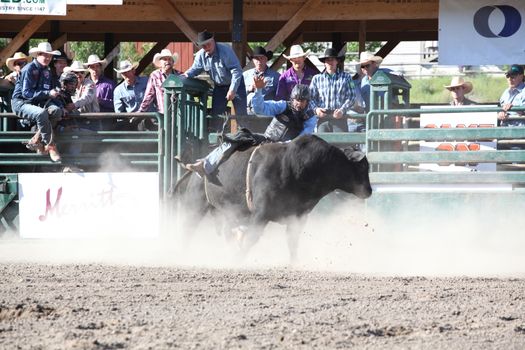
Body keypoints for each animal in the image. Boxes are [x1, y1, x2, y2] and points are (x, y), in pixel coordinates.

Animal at [172, 135, 372, 262]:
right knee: (187, 229)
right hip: (195, 204)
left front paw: (295, 263)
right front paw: (237, 259)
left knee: (228, 231)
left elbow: (292, 241)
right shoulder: (261, 214)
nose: (369, 191)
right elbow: (251, 238)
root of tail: (198, 166)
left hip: (228, 211)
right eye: (363, 167)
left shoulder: (298, 217)